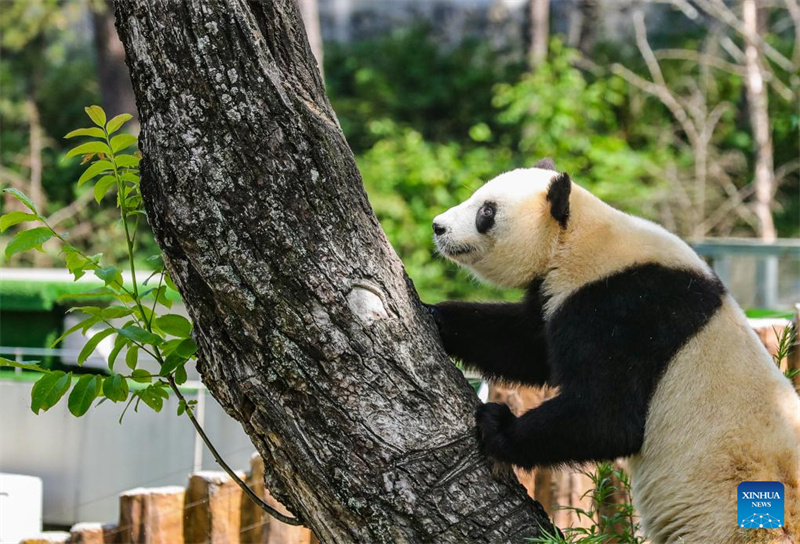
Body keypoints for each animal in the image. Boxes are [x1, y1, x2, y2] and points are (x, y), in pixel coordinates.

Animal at [427, 160, 800, 544]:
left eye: (486, 211)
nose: (438, 226)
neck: (579, 235)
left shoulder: (626, 307)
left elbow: (608, 416)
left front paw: (497, 424)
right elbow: (525, 344)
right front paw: (435, 316)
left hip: (726, 518)